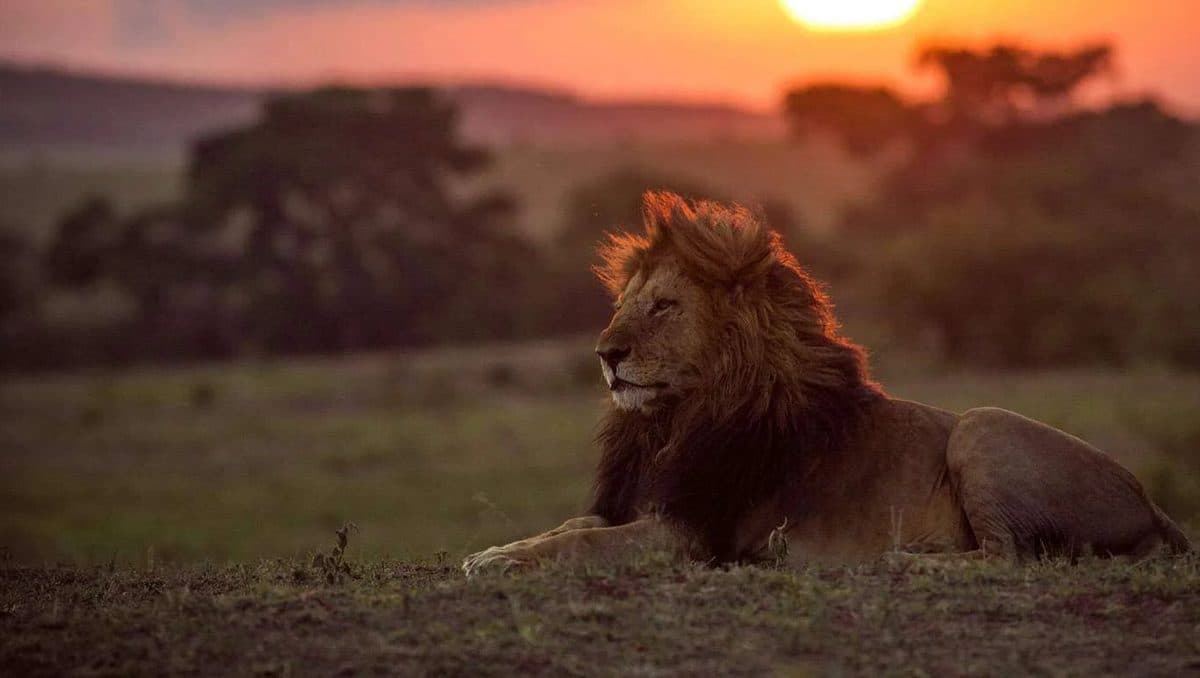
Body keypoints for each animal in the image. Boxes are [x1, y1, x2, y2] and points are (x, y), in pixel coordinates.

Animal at [462, 192, 1191, 576]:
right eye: (625, 304)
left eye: (664, 306)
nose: (605, 354)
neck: (674, 420)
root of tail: (1154, 505)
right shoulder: (643, 504)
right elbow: (571, 523)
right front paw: (494, 550)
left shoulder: (692, 537)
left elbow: (583, 540)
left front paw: (497, 563)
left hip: (983, 425)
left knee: (1008, 557)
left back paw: (901, 560)